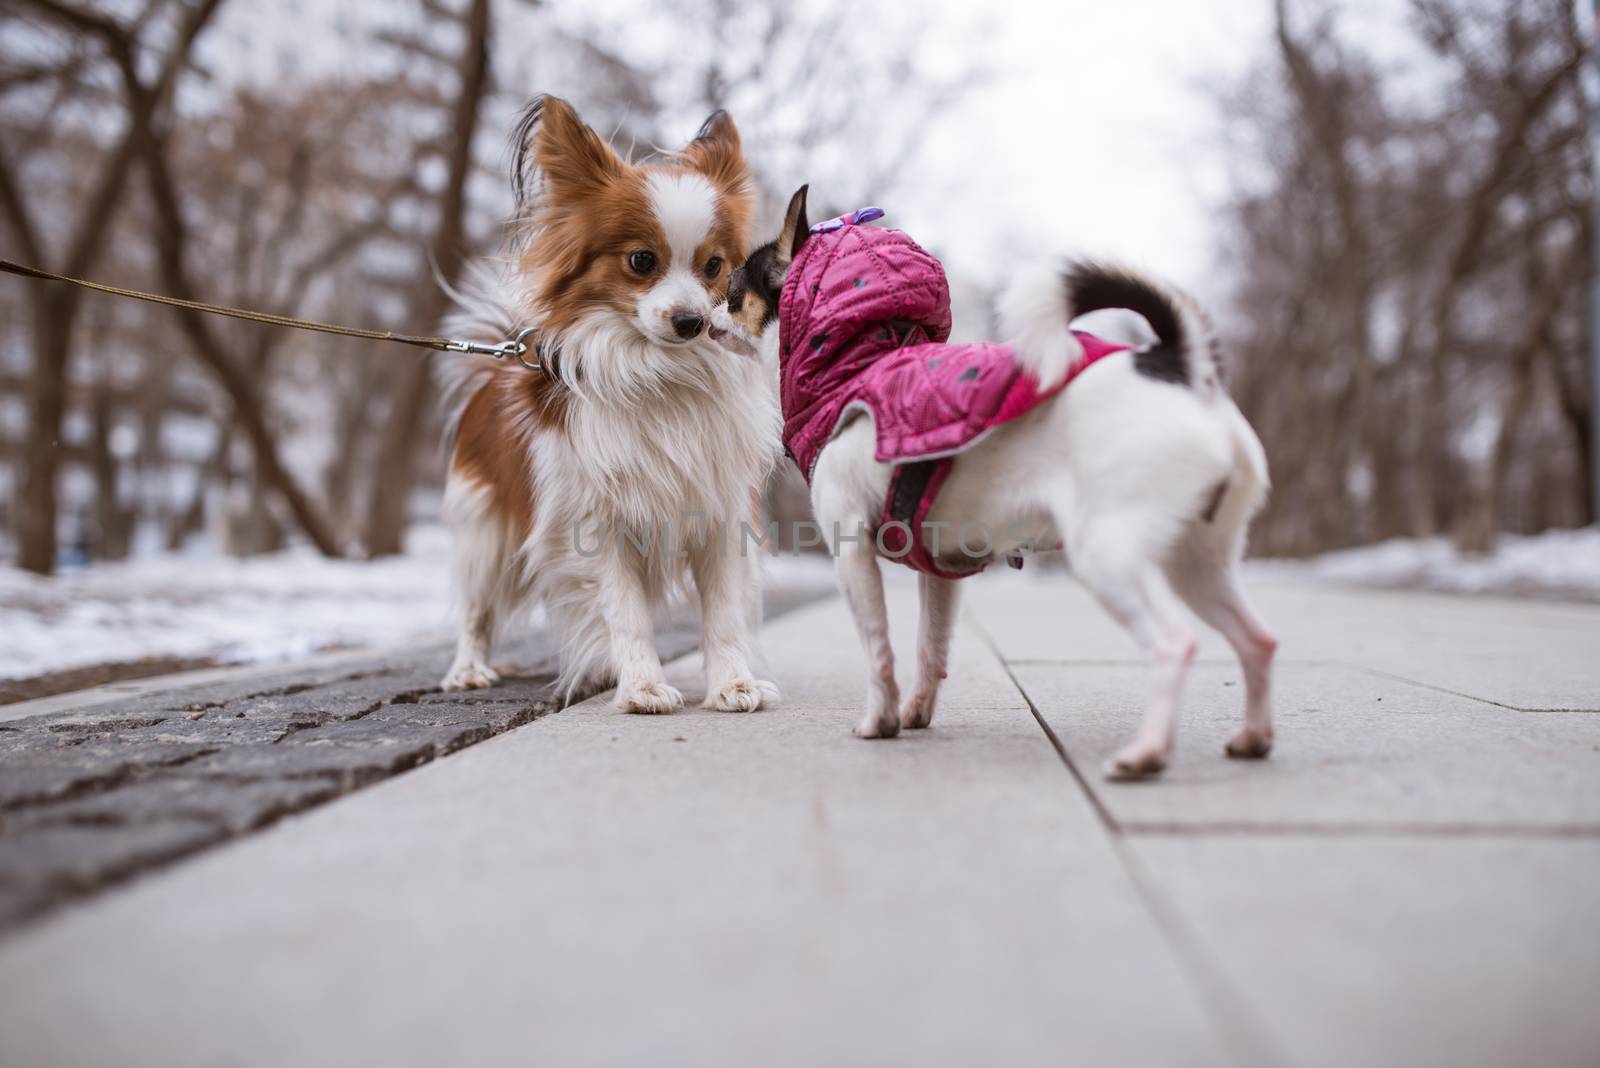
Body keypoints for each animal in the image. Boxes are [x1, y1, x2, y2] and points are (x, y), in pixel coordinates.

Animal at [438, 95, 780, 713]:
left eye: (715, 267)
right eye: (642, 261)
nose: (691, 321)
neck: (661, 375)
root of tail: (499, 360)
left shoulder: (717, 513)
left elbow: (722, 615)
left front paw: (733, 684)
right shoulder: (596, 526)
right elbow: (627, 615)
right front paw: (642, 687)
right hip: (485, 533)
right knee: (477, 610)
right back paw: (468, 670)